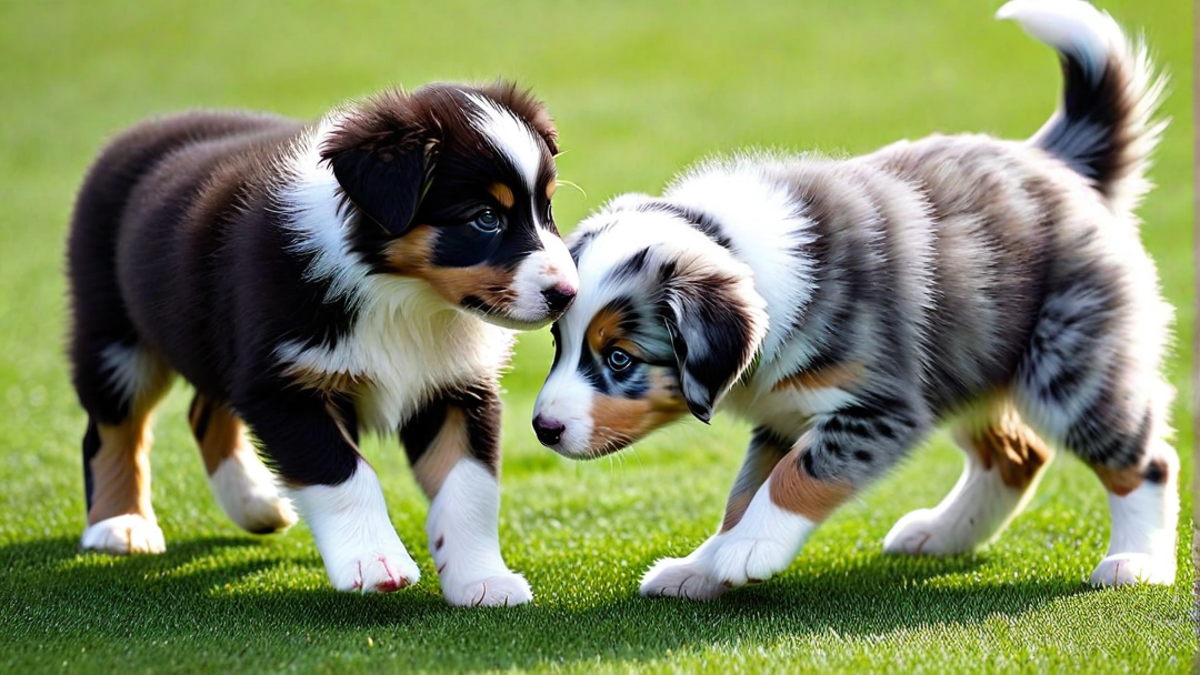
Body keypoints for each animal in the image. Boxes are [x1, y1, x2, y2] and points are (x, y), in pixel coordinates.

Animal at [65, 82, 580, 605]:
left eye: (547, 210)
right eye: (485, 218)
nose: (567, 295)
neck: (403, 295)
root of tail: (141, 130)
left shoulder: (456, 387)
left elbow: (470, 488)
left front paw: (482, 580)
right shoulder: (283, 384)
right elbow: (344, 474)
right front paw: (375, 562)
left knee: (204, 411)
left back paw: (255, 504)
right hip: (113, 335)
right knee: (113, 427)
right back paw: (121, 524)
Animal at [530, 0, 1176, 598]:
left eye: (620, 359)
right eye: (559, 342)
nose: (542, 429)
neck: (730, 243)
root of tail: (1056, 160)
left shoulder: (881, 407)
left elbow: (796, 475)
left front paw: (748, 549)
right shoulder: (782, 415)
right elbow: (745, 490)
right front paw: (701, 566)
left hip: (1068, 364)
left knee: (1144, 460)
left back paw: (1135, 562)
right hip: (969, 362)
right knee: (1019, 455)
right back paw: (941, 534)